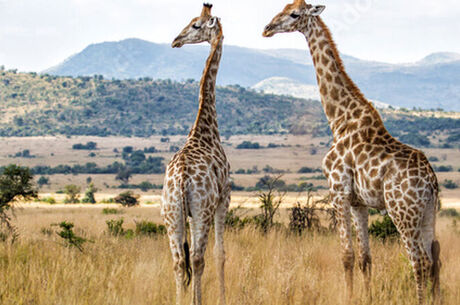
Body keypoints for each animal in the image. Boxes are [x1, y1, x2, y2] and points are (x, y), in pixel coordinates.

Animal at [264, 1, 440, 302]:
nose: (267, 28)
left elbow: (346, 255)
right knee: (433, 258)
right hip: (428, 212)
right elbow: (365, 258)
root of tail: (430, 180)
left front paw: (348, 297)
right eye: (284, 7)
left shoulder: (338, 191)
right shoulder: (359, 201)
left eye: (294, 14)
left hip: (402, 211)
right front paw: (366, 297)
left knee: (419, 261)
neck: (339, 119)